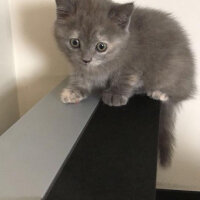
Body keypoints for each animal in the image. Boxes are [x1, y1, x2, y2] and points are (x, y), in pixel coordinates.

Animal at [53, 0, 195, 166]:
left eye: (101, 46)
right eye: (74, 42)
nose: (86, 59)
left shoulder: (133, 62)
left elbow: (124, 78)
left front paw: (115, 95)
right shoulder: (80, 67)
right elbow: (80, 76)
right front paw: (74, 91)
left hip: (170, 71)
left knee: (177, 93)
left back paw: (160, 93)